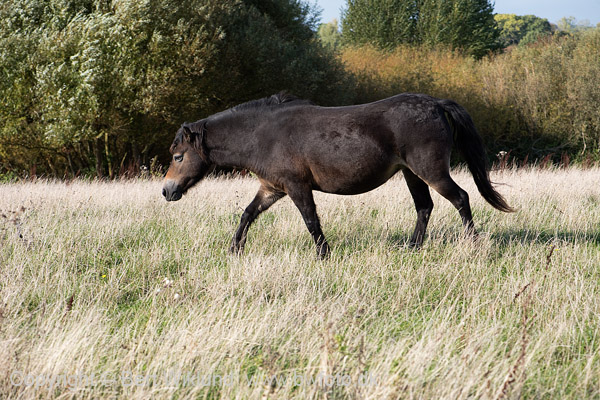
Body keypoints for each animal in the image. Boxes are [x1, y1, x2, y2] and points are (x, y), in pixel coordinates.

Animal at [162, 93, 513, 257]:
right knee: (425, 207)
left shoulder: (296, 186)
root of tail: (437, 104)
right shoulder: (272, 189)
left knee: (461, 198)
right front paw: (235, 249)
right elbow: (247, 214)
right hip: (412, 174)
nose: (167, 191)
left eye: (178, 156)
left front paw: (323, 255)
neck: (263, 135)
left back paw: (473, 245)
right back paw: (412, 247)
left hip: (431, 171)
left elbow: (311, 221)